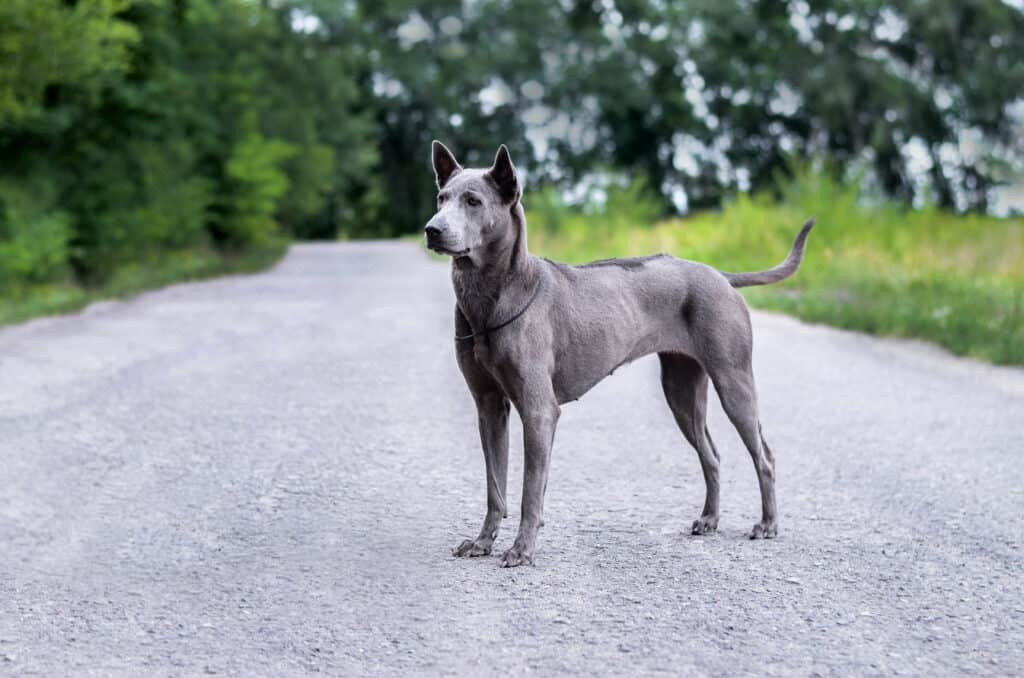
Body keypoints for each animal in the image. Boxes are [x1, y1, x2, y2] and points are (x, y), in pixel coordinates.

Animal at [425, 142, 815, 569]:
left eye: (473, 201)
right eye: (442, 197)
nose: (432, 229)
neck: (492, 297)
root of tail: (721, 276)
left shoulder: (539, 411)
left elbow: (530, 491)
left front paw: (522, 549)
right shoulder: (489, 407)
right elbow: (495, 487)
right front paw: (482, 542)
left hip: (734, 383)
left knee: (764, 456)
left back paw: (768, 524)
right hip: (681, 391)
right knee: (711, 456)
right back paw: (710, 519)